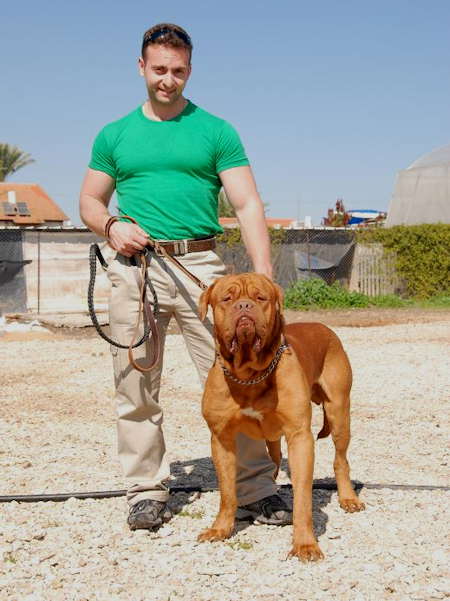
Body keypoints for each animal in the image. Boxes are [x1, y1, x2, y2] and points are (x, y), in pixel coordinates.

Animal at [198, 274, 366, 560]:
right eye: (227, 298)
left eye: (260, 297)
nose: (244, 306)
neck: (249, 374)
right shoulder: (221, 438)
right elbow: (227, 492)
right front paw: (220, 528)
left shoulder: (300, 437)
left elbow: (303, 498)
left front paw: (305, 544)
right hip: (273, 438)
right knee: (274, 462)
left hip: (339, 413)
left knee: (341, 460)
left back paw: (348, 498)